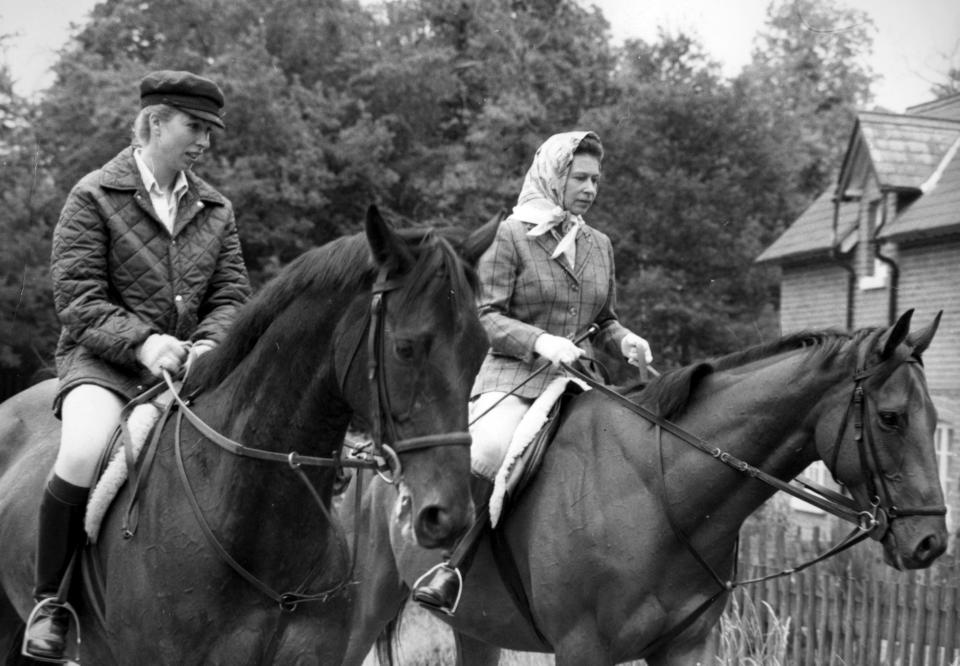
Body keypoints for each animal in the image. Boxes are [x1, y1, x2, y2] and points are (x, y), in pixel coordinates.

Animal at [340, 308, 944, 664]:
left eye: (936, 421)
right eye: (891, 418)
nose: (931, 543)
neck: (659, 494)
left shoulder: (685, 649)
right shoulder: (582, 651)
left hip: (475, 628)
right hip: (364, 605)